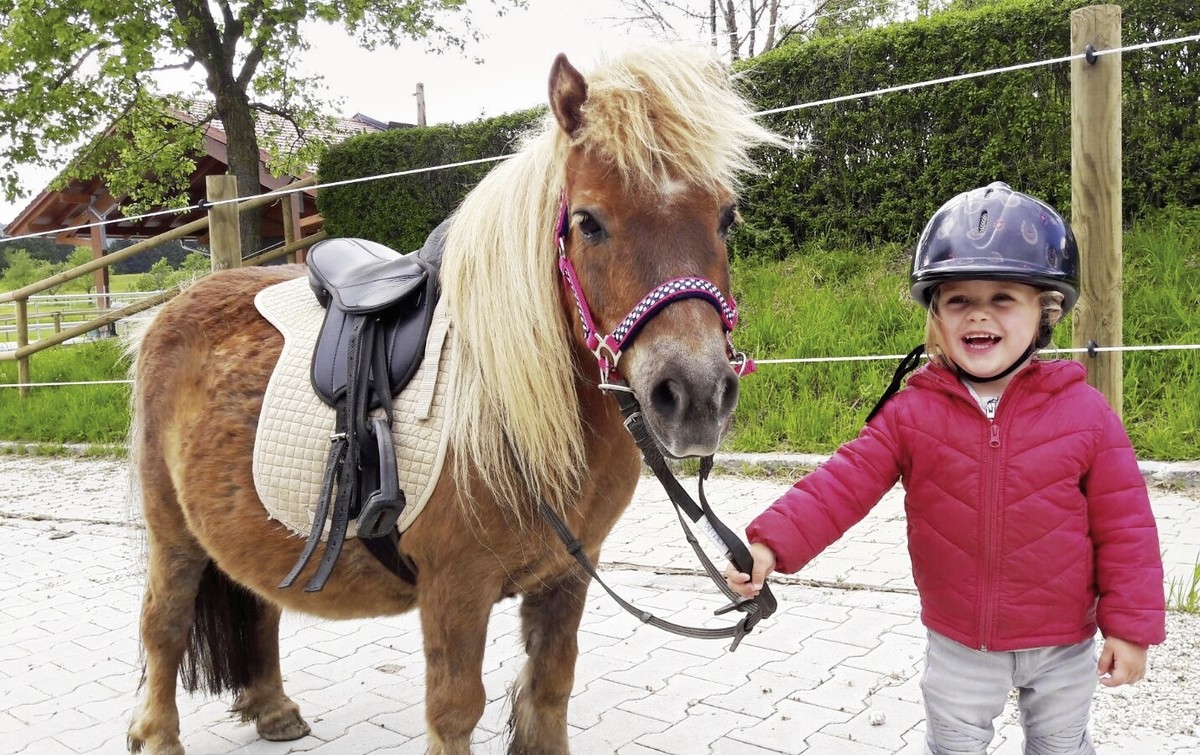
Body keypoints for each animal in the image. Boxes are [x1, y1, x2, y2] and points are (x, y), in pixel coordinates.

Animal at [126, 44, 787, 748]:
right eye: (588, 222)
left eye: (726, 216)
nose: (696, 396)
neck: (514, 406)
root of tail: (171, 310)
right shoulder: (455, 589)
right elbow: (455, 710)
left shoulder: (567, 575)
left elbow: (550, 690)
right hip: (172, 533)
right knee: (164, 622)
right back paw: (160, 734)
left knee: (259, 604)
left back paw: (272, 708)